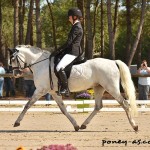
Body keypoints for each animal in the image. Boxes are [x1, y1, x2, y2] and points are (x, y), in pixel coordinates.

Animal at [7, 44, 138, 131]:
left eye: (13, 59)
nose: (15, 73)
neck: (41, 64)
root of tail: (113, 62)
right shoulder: (53, 92)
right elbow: (63, 109)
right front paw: (75, 125)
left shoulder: (40, 90)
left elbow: (27, 105)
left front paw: (17, 122)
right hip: (99, 87)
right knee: (98, 106)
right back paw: (84, 125)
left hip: (111, 88)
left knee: (125, 104)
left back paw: (135, 126)